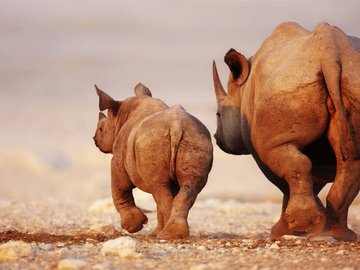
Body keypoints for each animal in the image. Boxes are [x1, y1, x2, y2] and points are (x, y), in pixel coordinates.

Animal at [93, 83, 212, 238]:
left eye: (101, 129)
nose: (94, 139)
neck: (120, 117)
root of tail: (176, 127)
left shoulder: (118, 159)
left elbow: (120, 188)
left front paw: (133, 226)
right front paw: (154, 232)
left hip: (152, 141)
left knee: (159, 188)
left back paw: (166, 235)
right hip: (196, 139)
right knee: (187, 186)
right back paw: (172, 234)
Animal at [212, 22, 358, 240]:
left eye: (218, 114)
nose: (216, 138)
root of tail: (330, 52)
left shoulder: (262, 145)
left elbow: (282, 181)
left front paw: (285, 230)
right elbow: (314, 178)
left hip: (287, 83)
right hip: (347, 79)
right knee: (350, 163)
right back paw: (339, 235)